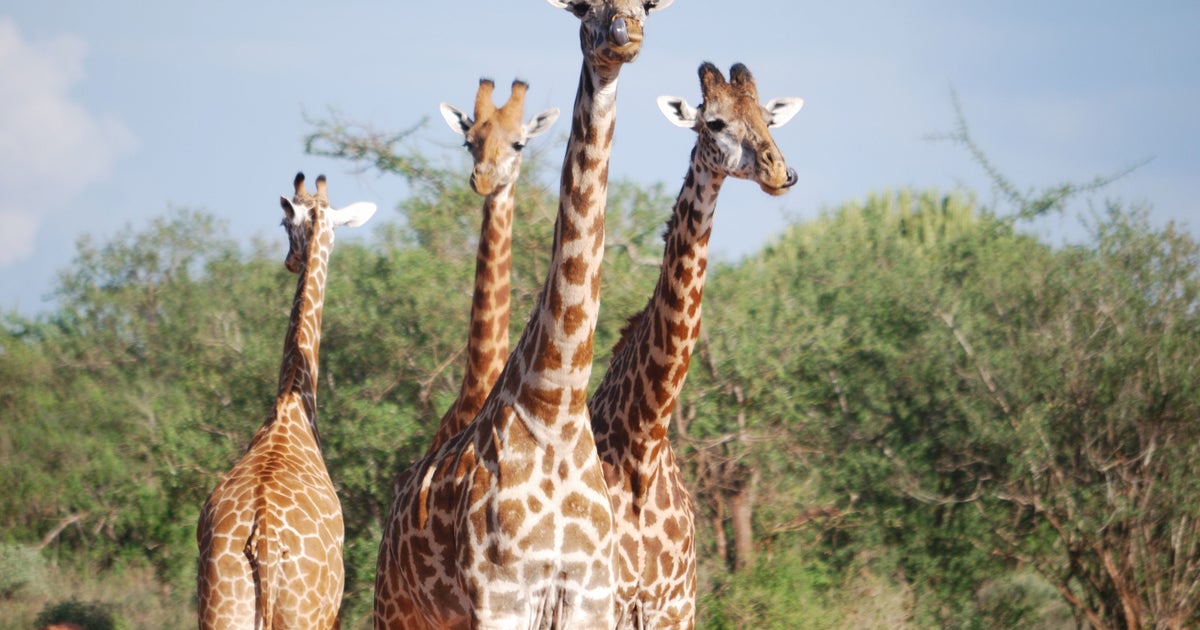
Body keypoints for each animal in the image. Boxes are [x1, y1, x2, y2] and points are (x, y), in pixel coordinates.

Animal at [197, 173, 376, 629]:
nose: (290, 262)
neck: (291, 407)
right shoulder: (333, 613)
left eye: (282, 224)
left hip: (222, 610)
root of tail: (263, 541)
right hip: (304, 615)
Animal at [589, 62, 803, 628]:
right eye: (714, 122)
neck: (642, 443)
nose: (781, 173)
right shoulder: (605, 599)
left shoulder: (677, 602)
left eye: (767, 117)